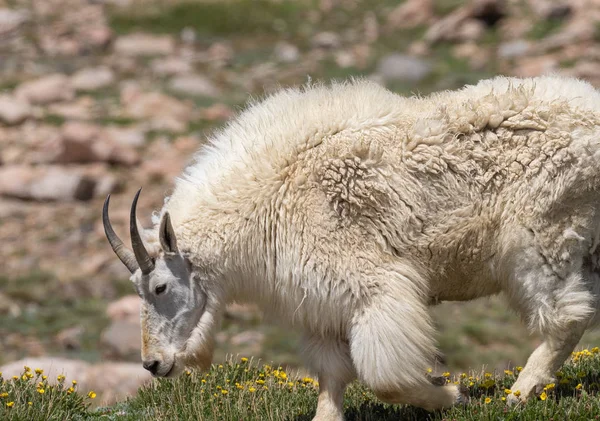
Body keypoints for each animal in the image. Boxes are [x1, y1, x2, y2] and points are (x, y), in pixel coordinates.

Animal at [101, 76, 600, 420]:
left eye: (161, 287)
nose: (153, 363)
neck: (268, 196)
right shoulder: (321, 307)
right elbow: (332, 375)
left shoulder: (375, 290)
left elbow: (386, 378)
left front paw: (451, 395)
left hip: (542, 237)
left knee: (567, 316)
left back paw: (521, 391)